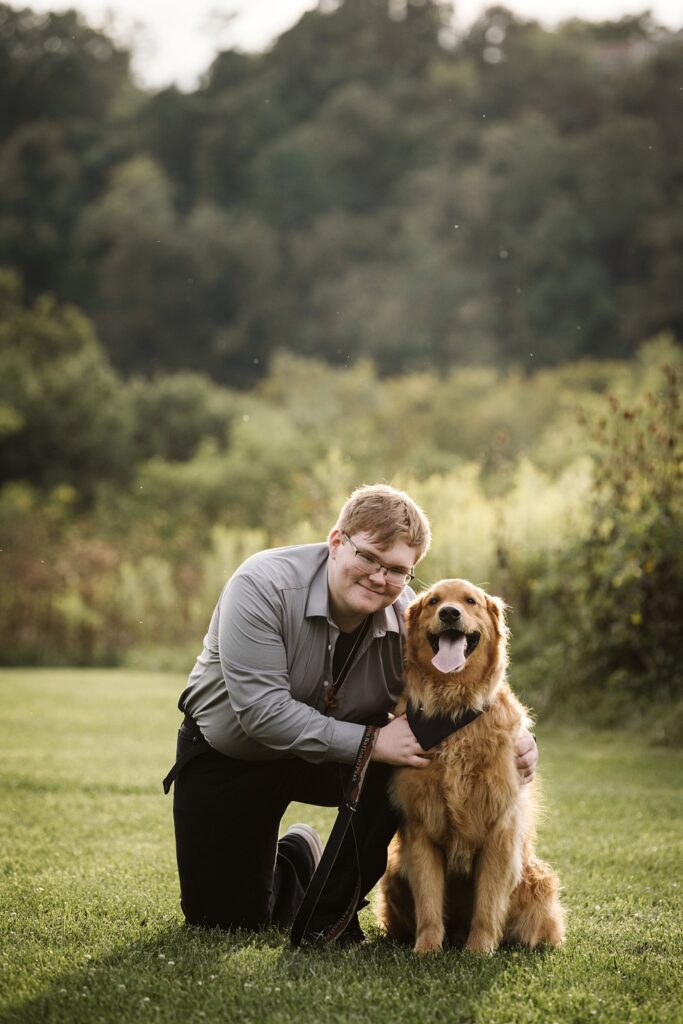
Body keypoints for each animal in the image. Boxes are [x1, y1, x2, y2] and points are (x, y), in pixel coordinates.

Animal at [374, 581, 565, 954]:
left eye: (470, 601)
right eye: (433, 601)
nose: (449, 613)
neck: (453, 713)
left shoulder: (499, 832)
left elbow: (488, 905)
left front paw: (478, 951)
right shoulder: (420, 829)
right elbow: (429, 905)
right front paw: (427, 951)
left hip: (538, 884)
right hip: (393, 874)